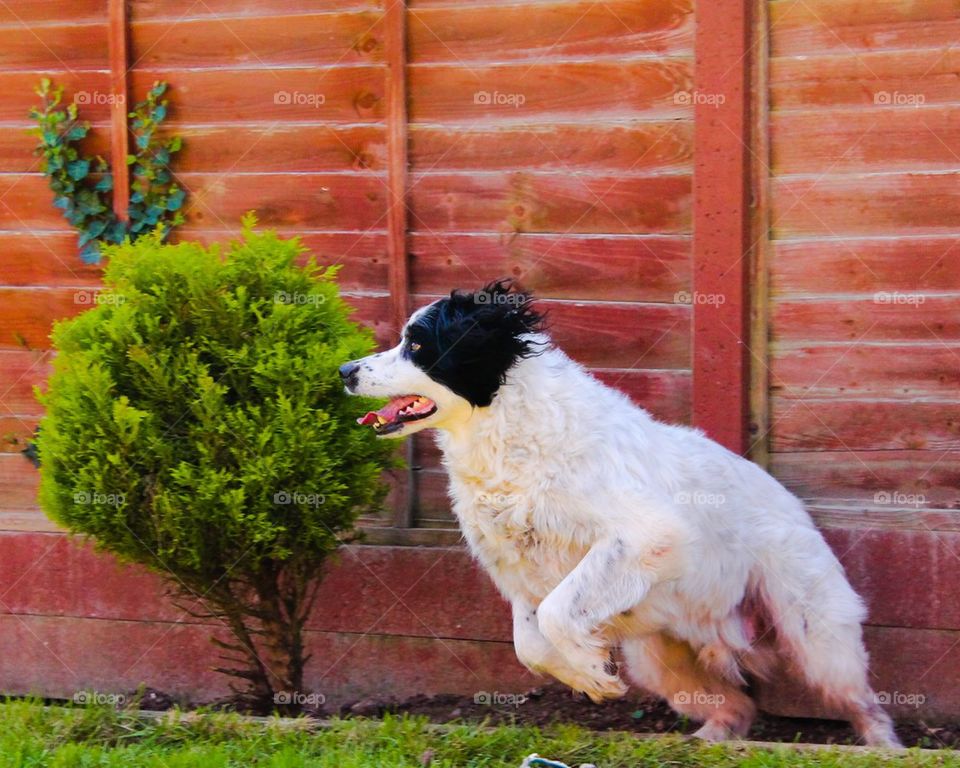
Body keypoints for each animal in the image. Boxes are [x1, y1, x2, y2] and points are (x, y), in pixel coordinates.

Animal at [342, 280, 904, 744]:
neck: (508, 433)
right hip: (660, 657)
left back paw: (884, 747)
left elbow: (557, 613)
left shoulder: (643, 535)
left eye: (418, 345)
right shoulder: (522, 570)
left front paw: (591, 672)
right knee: (736, 706)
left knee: (864, 704)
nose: (345, 371)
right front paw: (590, 676)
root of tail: (792, 504)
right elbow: (530, 642)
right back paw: (708, 739)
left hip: (817, 637)